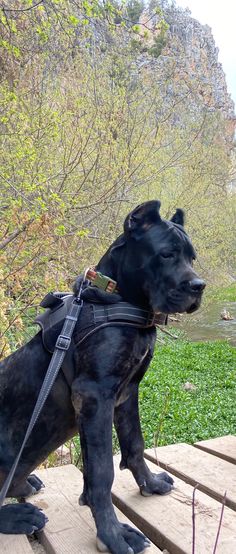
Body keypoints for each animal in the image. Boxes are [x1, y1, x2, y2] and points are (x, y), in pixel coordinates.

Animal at [0, 201, 205, 548]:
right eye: (166, 254)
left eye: (191, 257)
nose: (198, 286)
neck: (122, 300)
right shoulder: (94, 394)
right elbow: (101, 471)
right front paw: (113, 534)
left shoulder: (127, 392)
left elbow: (134, 443)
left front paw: (150, 484)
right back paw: (19, 516)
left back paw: (27, 484)